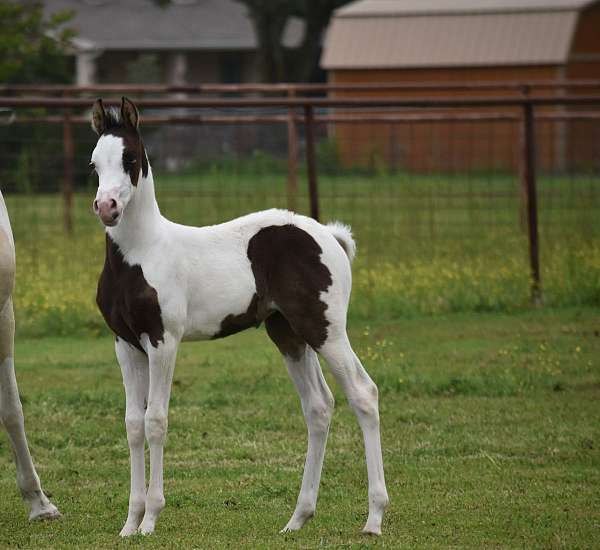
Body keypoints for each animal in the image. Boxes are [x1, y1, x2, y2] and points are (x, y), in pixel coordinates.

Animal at [89, 97, 390, 536]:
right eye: (94, 163)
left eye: (130, 157)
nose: (106, 207)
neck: (141, 252)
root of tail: (329, 236)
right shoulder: (126, 344)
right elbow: (132, 425)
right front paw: (130, 523)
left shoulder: (164, 341)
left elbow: (155, 421)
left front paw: (151, 520)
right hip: (289, 334)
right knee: (318, 406)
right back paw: (297, 518)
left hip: (325, 330)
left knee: (363, 394)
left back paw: (374, 518)